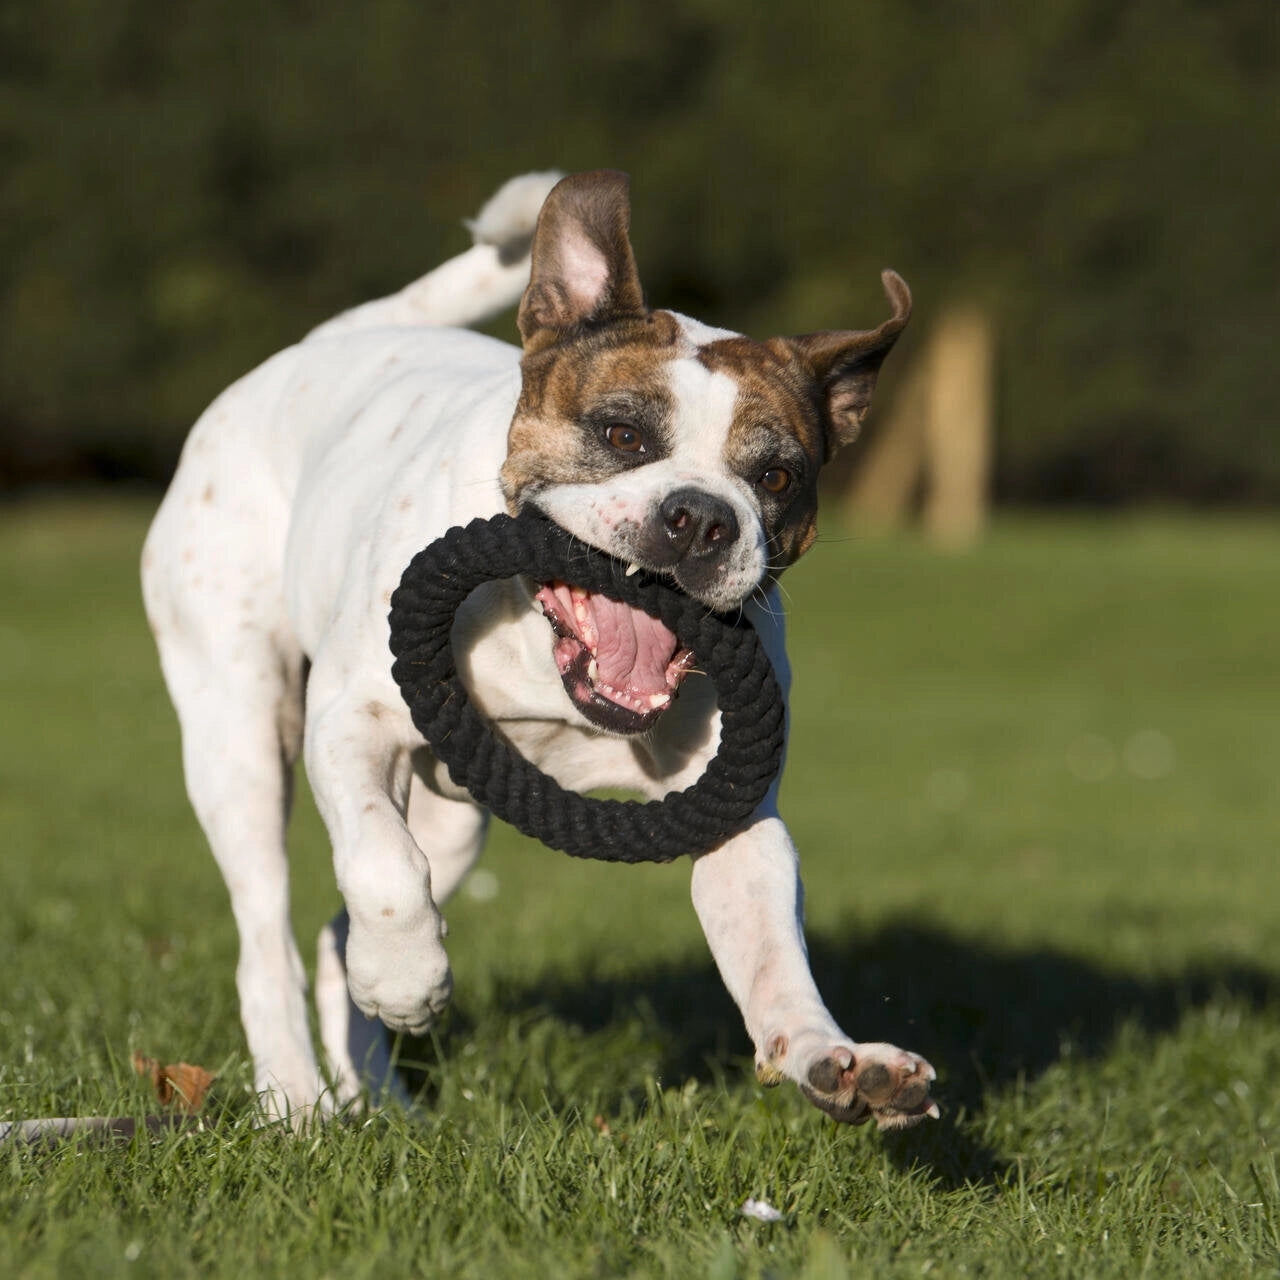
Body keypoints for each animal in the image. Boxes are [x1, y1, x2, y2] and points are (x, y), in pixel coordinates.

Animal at [142, 167, 942, 1131]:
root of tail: (330, 341)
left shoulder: (739, 820)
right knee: (269, 932)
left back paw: (379, 1096)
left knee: (337, 935)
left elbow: (772, 957)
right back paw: (296, 1096)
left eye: (776, 476)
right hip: (241, 740)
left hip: (453, 822)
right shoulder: (351, 721)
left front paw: (841, 1063)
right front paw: (408, 979)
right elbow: (382, 867)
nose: (701, 517)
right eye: (623, 435)